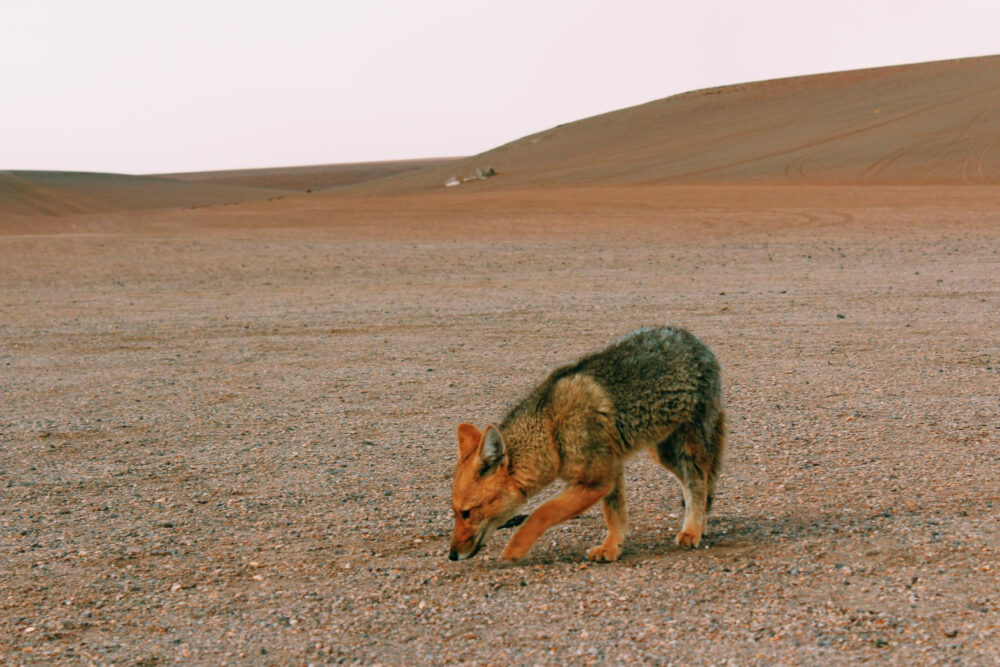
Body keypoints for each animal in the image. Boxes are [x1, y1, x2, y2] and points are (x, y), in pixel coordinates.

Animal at [452, 328, 728, 564]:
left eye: (466, 513)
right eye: (454, 512)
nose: (452, 555)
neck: (551, 428)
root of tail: (694, 340)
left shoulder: (595, 480)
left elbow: (541, 513)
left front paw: (514, 549)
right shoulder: (611, 471)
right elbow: (615, 515)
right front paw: (612, 548)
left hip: (685, 450)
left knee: (697, 483)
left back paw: (693, 530)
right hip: (663, 453)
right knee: (697, 484)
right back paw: (699, 524)